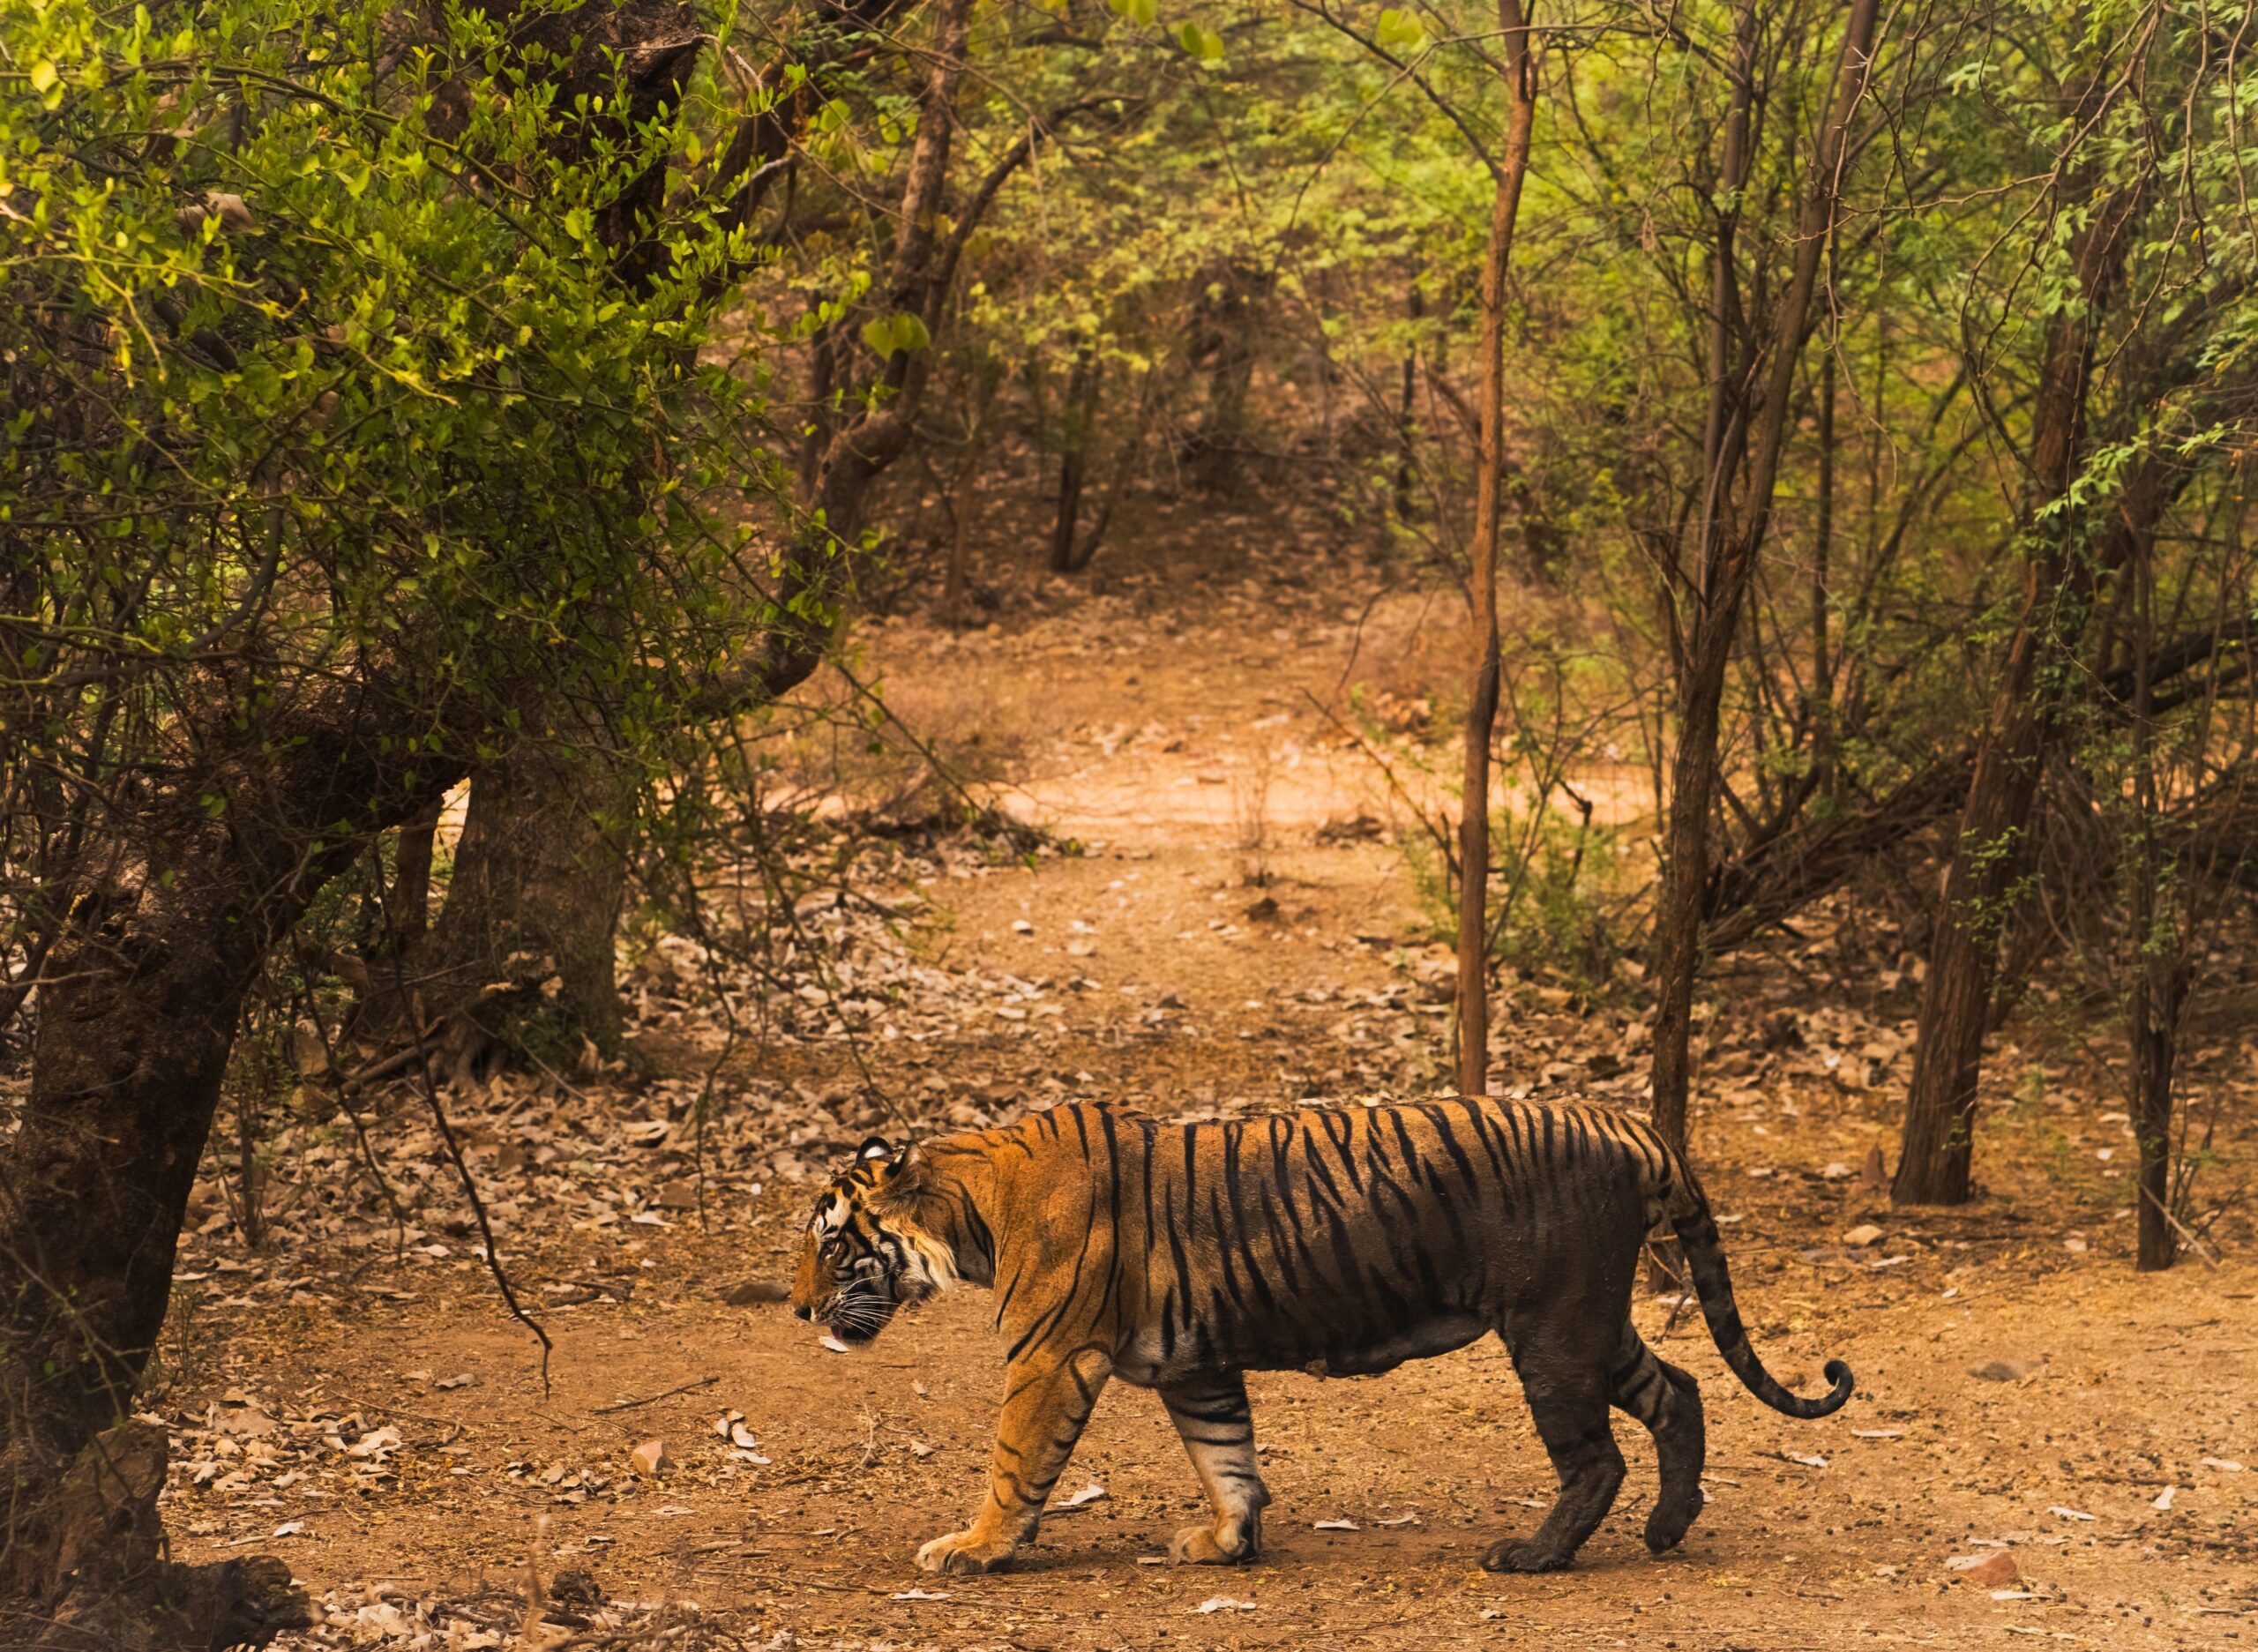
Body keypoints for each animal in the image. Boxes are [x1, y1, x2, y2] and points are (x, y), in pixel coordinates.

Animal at [788, 1096, 1851, 1576]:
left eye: (832, 1244)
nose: (797, 1310)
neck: (971, 1210)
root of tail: (1631, 1122)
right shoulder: (1194, 1361)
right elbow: (1226, 1453)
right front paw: (1227, 1539)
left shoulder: (1050, 1357)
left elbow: (1014, 1462)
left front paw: (974, 1547)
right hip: (1591, 1322)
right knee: (1680, 1390)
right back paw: (1669, 1528)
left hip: (1552, 1331)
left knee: (1596, 1457)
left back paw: (1533, 1554)